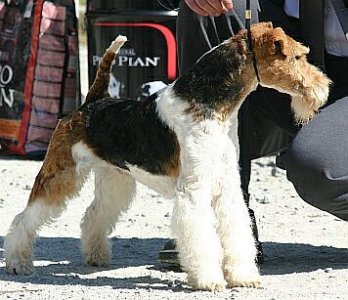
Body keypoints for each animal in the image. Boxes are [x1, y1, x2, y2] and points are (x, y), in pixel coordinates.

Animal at [4, 22, 330, 290]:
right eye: (297, 57)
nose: (325, 87)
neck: (211, 103)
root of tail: (93, 101)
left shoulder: (227, 187)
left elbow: (237, 232)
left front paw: (244, 276)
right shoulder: (194, 191)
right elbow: (202, 238)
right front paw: (209, 280)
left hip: (115, 178)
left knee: (94, 215)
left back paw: (96, 256)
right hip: (61, 174)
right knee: (24, 218)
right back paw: (18, 263)